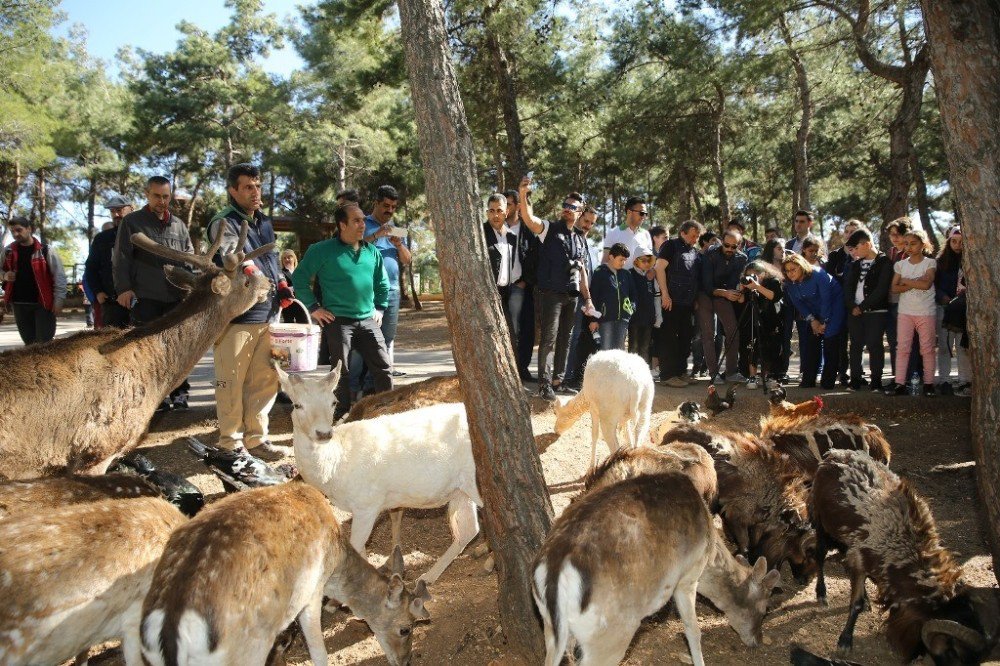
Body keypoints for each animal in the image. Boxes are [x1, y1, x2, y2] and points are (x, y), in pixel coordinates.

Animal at [141, 482, 430, 664]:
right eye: (406, 629)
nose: (406, 661)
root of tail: (171, 622)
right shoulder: (312, 591)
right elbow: (319, 652)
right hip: (246, 652)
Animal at [272, 364, 478, 580]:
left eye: (333, 402)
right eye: (297, 405)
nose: (323, 433)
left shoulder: (367, 504)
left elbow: (356, 545)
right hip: (460, 491)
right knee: (469, 530)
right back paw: (428, 577)